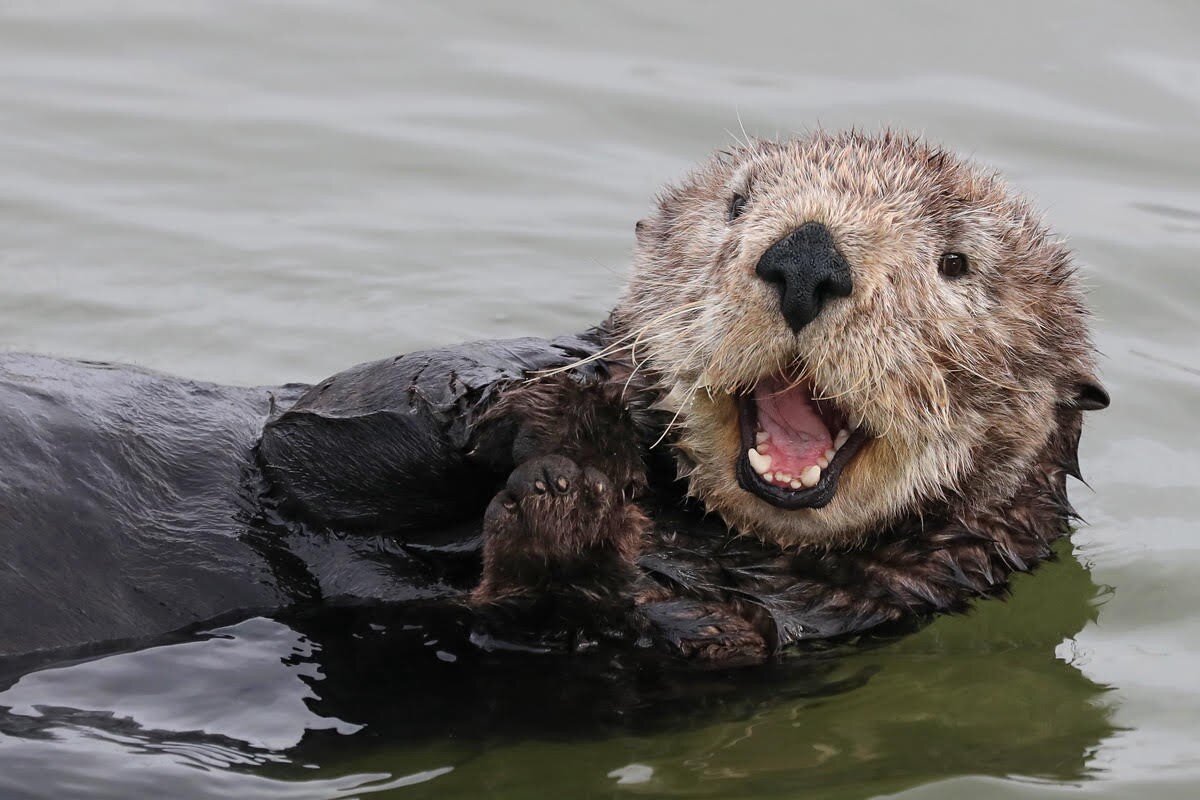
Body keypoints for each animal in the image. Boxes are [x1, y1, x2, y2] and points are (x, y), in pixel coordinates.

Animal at [0, 134, 1104, 666]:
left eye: (956, 262)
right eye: (740, 203)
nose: (806, 255)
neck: (695, 524)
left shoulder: (797, 624)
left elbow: (592, 624)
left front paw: (563, 508)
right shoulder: (328, 434)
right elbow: (311, 435)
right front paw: (570, 408)